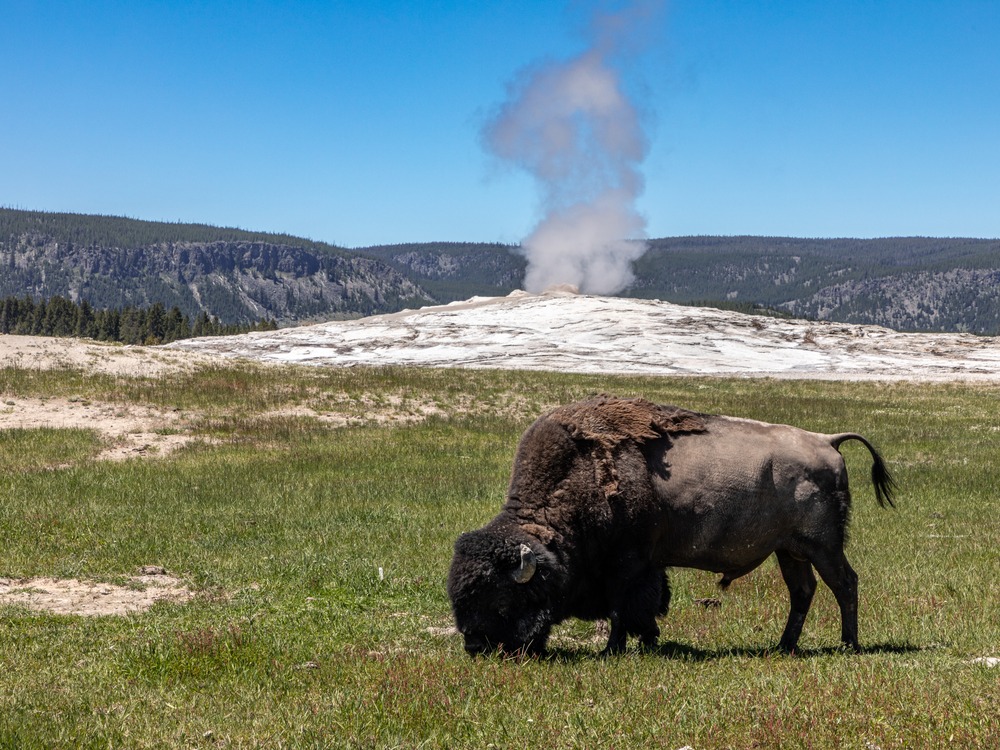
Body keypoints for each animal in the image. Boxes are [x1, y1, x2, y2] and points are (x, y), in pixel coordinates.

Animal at [447, 395, 895, 657]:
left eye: (502, 600)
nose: (475, 646)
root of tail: (826, 440)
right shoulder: (647, 567)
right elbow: (645, 605)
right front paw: (649, 640)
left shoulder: (628, 565)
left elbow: (623, 607)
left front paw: (614, 649)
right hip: (790, 550)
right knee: (803, 591)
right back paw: (783, 647)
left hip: (823, 545)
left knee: (844, 584)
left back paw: (848, 645)